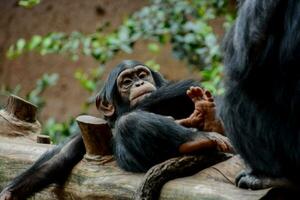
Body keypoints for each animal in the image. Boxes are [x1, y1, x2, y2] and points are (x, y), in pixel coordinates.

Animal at [0, 59, 231, 200]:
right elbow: (57, 160)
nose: (139, 84)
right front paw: (10, 193)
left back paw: (207, 117)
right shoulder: (80, 138)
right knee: (128, 121)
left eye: (142, 75)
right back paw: (198, 137)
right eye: (126, 82)